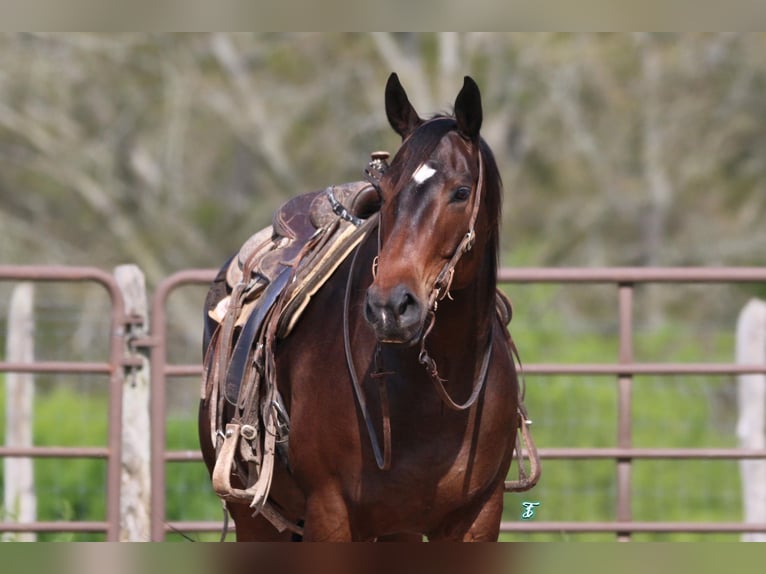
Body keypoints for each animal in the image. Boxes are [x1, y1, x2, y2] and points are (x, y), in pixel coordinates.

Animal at [198, 74, 536, 544]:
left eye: (461, 191)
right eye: (386, 191)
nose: (390, 306)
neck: (435, 393)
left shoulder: (479, 516)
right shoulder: (330, 513)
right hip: (254, 517)